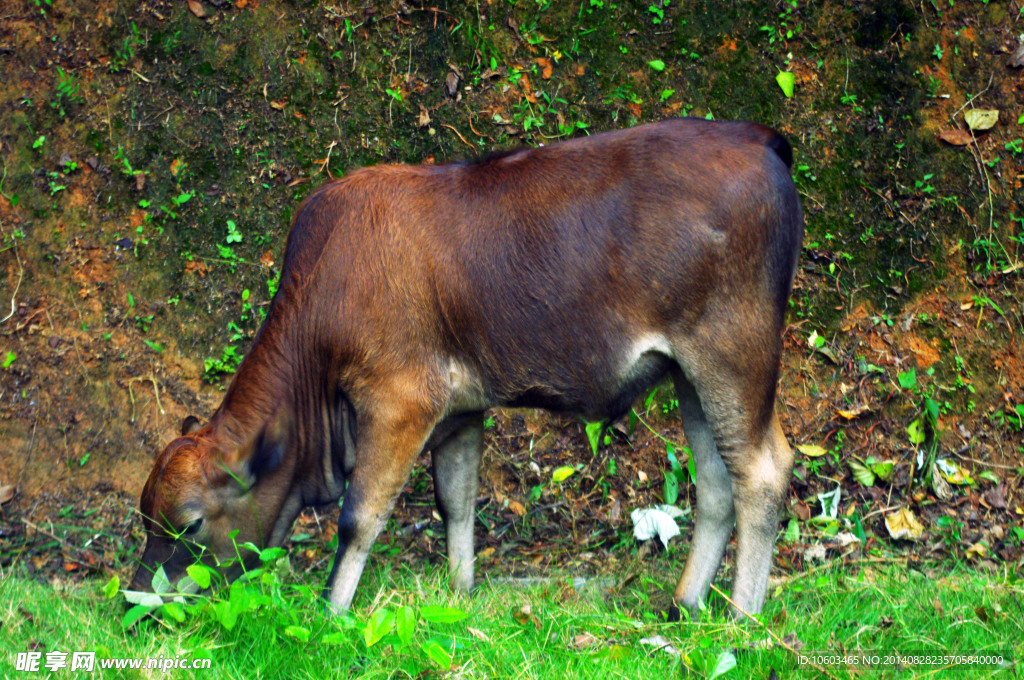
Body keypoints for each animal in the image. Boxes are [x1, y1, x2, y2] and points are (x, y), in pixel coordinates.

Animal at [130, 118, 798, 622]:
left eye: (190, 525)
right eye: (145, 520)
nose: (137, 604)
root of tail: (757, 136)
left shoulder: (399, 403)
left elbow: (358, 516)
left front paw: (329, 614)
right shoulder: (459, 409)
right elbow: (455, 499)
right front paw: (459, 594)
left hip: (732, 355)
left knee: (762, 471)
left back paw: (742, 617)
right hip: (691, 376)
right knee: (716, 483)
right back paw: (685, 605)